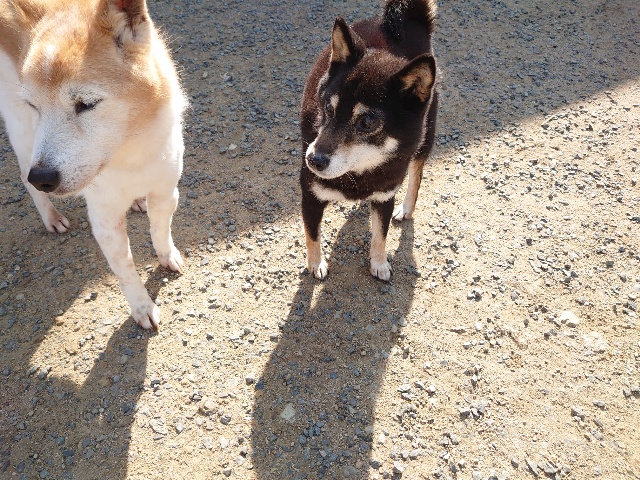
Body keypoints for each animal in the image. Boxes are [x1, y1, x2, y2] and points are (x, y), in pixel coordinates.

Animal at [0, 0, 186, 329]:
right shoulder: (105, 221)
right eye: (34, 105)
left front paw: (168, 257)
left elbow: (160, 230)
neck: (128, 152)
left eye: (86, 104)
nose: (43, 178)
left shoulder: (166, 192)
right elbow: (125, 270)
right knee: (24, 177)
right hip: (23, 134)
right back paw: (51, 217)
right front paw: (142, 308)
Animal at [300, 0, 439, 281]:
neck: (358, 172)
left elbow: (380, 235)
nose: (313, 160)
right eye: (328, 108)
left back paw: (406, 209)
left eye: (367, 122)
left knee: (416, 176)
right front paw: (316, 264)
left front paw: (379, 263)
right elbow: (313, 234)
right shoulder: (310, 194)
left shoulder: (385, 196)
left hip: (424, 139)